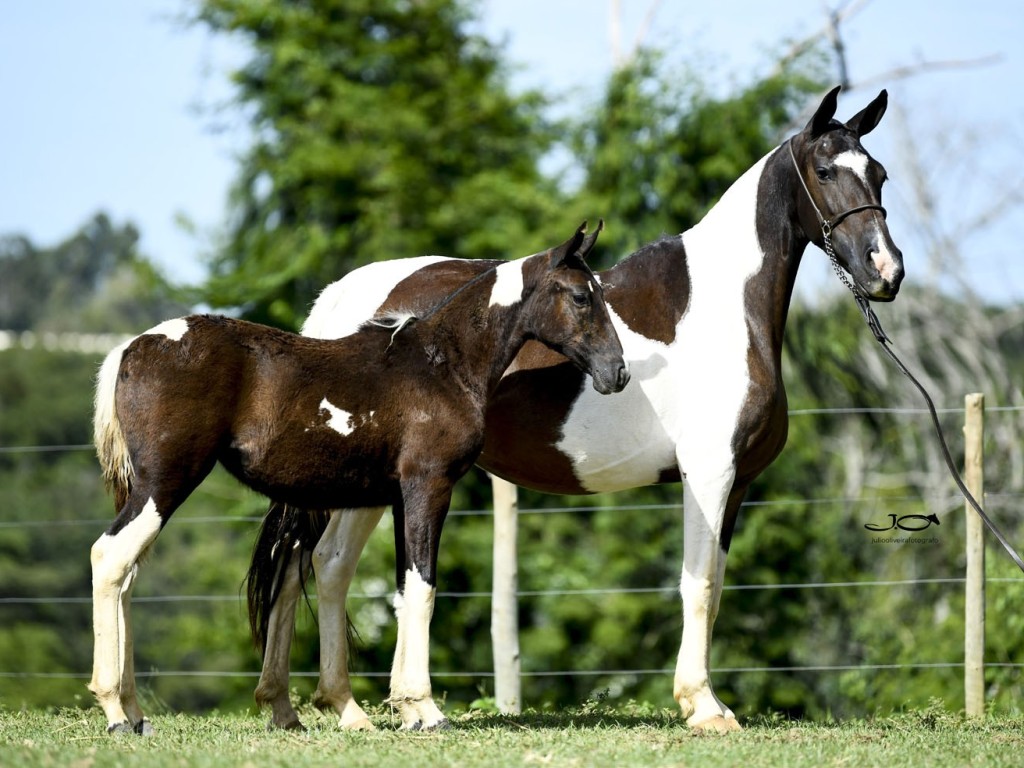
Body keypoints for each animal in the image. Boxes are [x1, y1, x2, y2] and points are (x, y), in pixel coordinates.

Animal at [88, 221, 626, 733]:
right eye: (582, 296)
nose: (616, 373)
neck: (441, 363)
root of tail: (130, 349)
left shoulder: (401, 498)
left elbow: (405, 591)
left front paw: (408, 708)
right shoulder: (429, 487)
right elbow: (424, 588)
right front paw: (427, 711)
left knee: (128, 573)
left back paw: (136, 713)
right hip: (164, 485)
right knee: (110, 557)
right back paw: (114, 710)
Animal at [251, 85, 909, 733]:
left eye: (878, 174)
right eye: (824, 171)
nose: (886, 271)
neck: (722, 311)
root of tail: (342, 299)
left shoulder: (738, 484)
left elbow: (716, 586)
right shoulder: (708, 474)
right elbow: (697, 585)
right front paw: (703, 706)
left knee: (319, 563)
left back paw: (319, 706)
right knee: (321, 563)